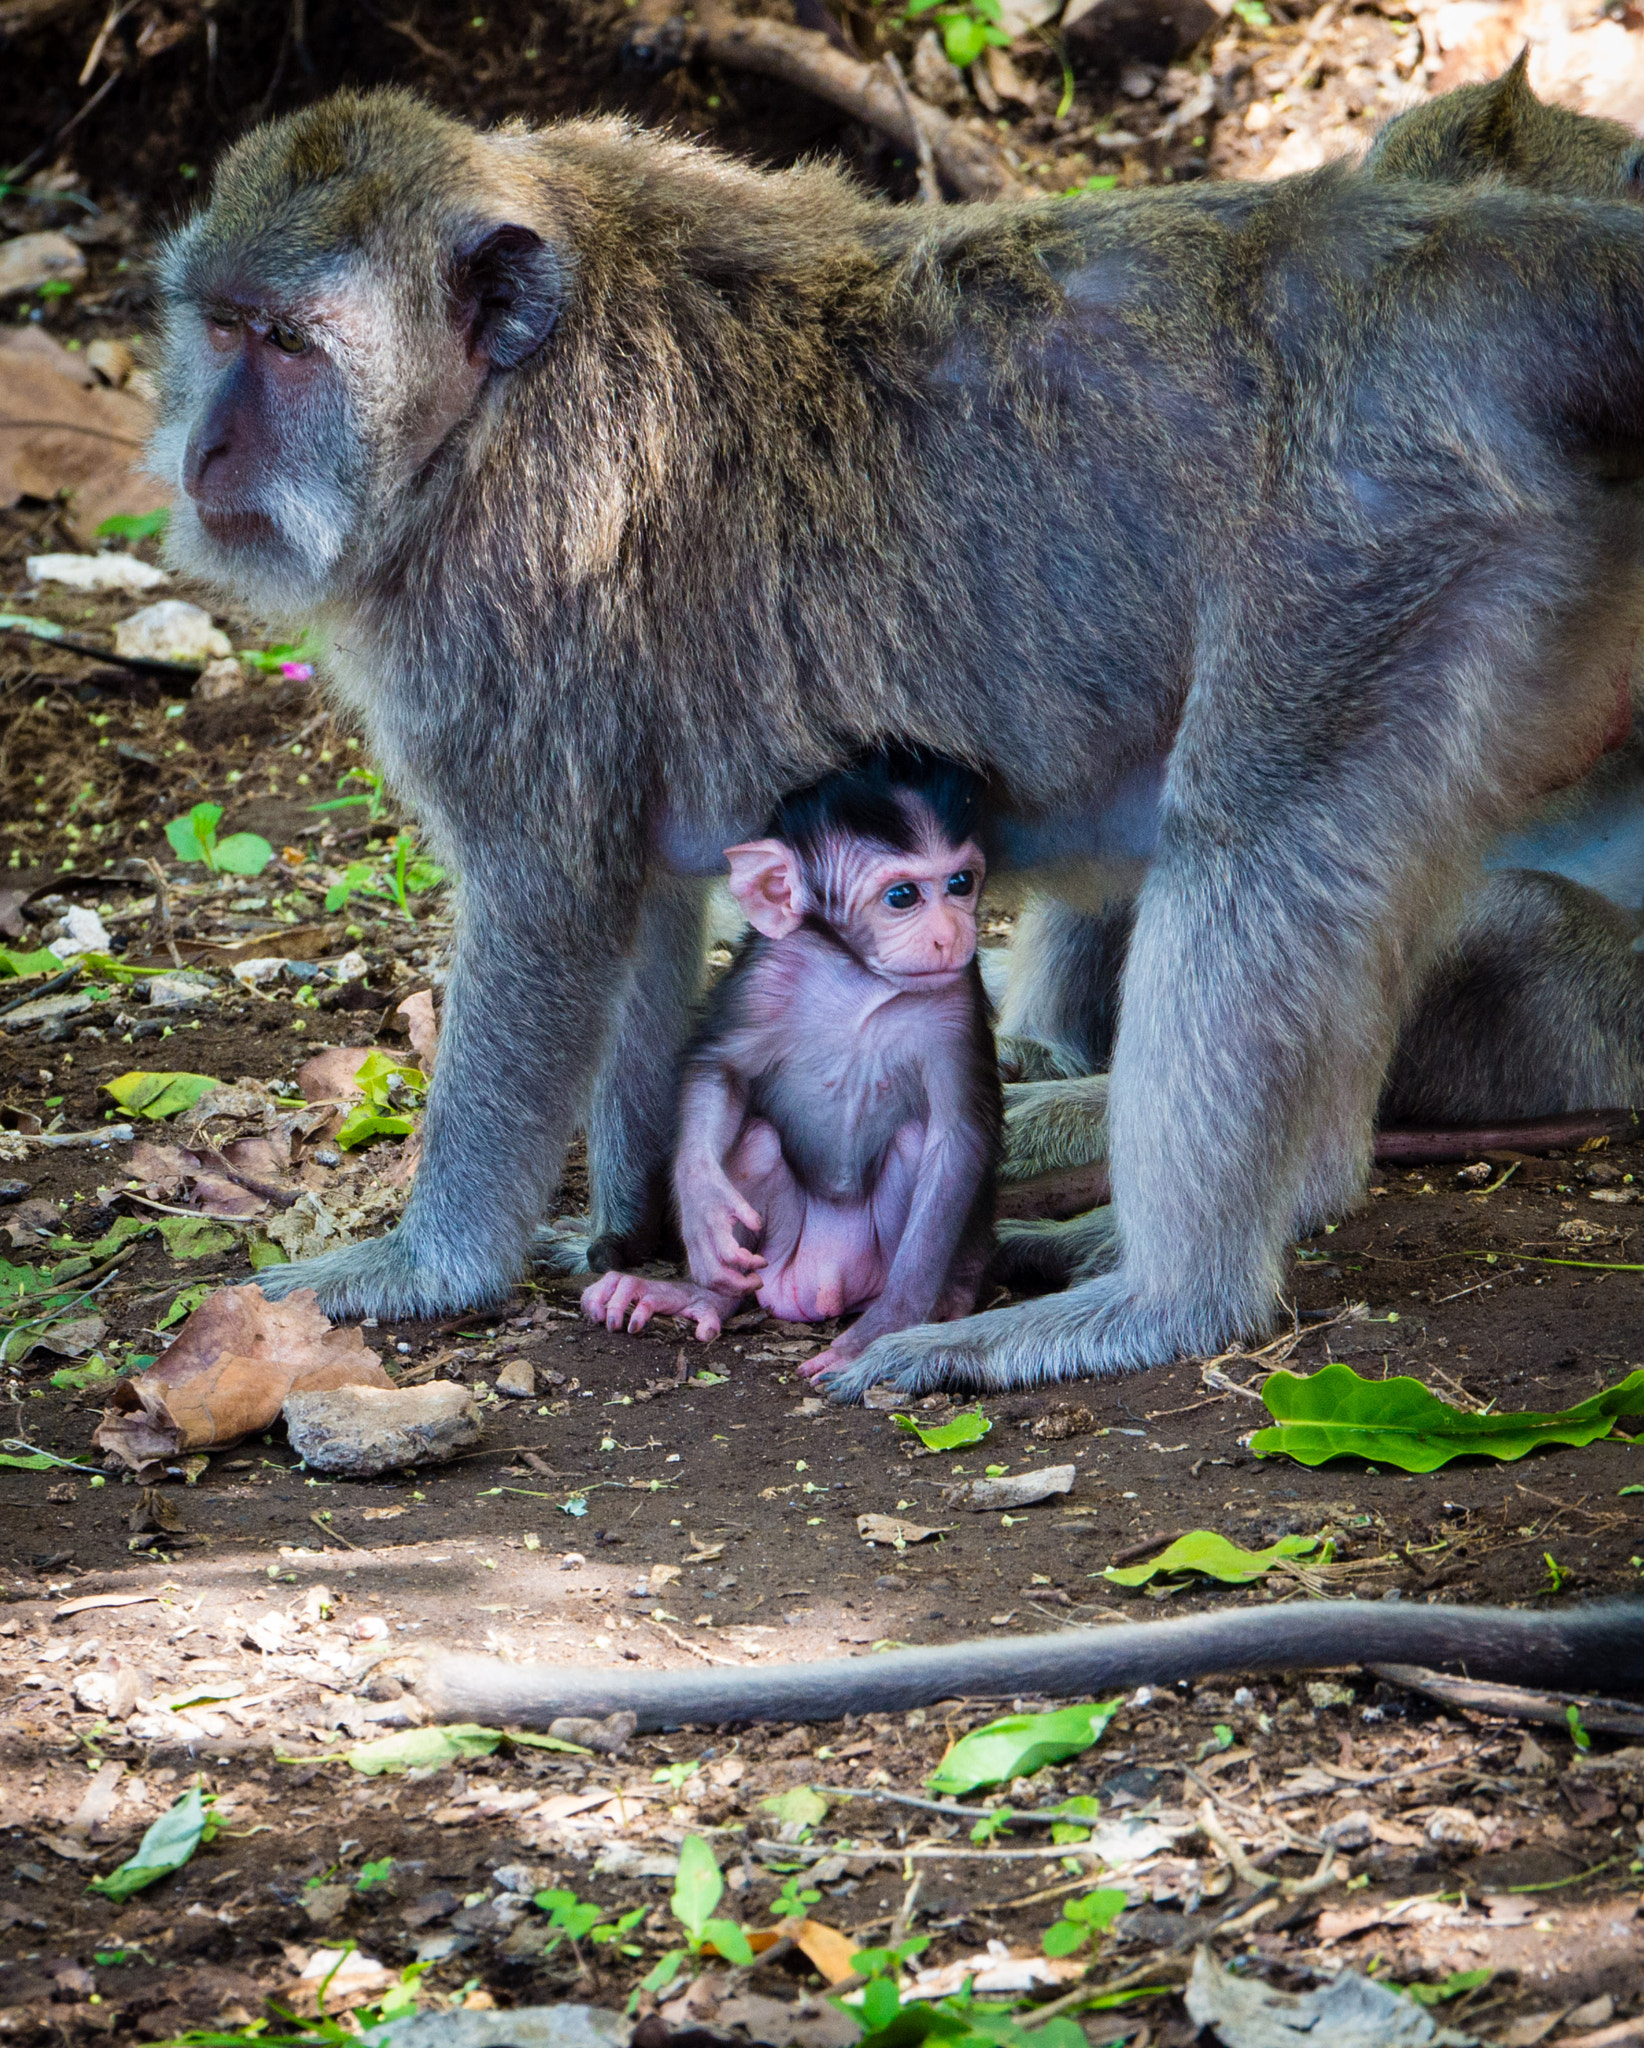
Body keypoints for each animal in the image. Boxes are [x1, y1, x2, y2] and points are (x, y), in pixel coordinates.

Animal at [585, 741, 1011, 1376]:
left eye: (960, 883)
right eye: (903, 896)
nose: (950, 934)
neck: (859, 977)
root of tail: (823, 1284)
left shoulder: (954, 1001)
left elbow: (956, 1138)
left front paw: (886, 1328)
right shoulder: (766, 975)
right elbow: (720, 1067)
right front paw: (702, 1204)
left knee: (917, 1144)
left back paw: (932, 1302)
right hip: (773, 1257)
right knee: (757, 1141)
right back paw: (701, 1296)